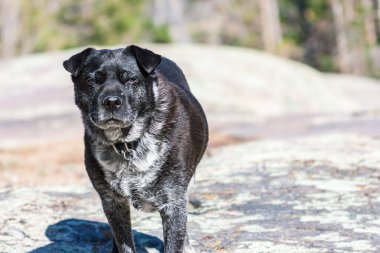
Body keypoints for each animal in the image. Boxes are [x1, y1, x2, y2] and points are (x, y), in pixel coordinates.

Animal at [63, 46, 209, 253]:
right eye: (93, 81)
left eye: (130, 79)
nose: (111, 102)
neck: (127, 143)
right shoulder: (113, 203)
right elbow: (124, 244)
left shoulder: (173, 203)